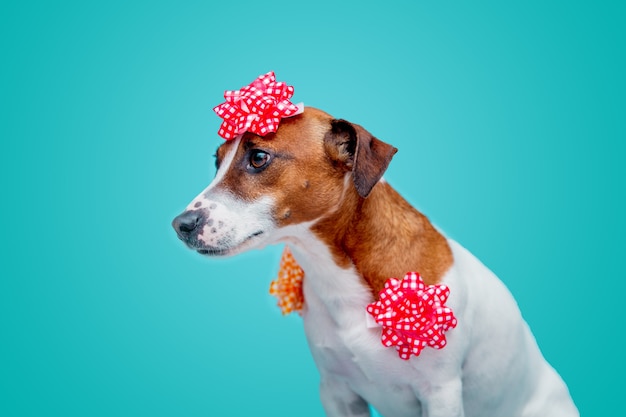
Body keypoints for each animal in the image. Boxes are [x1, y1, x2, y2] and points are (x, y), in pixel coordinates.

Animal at [169, 105, 576, 414]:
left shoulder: (441, 393)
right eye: (217, 161)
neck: (341, 271)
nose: (180, 225)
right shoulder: (336, 391)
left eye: (258, 157)